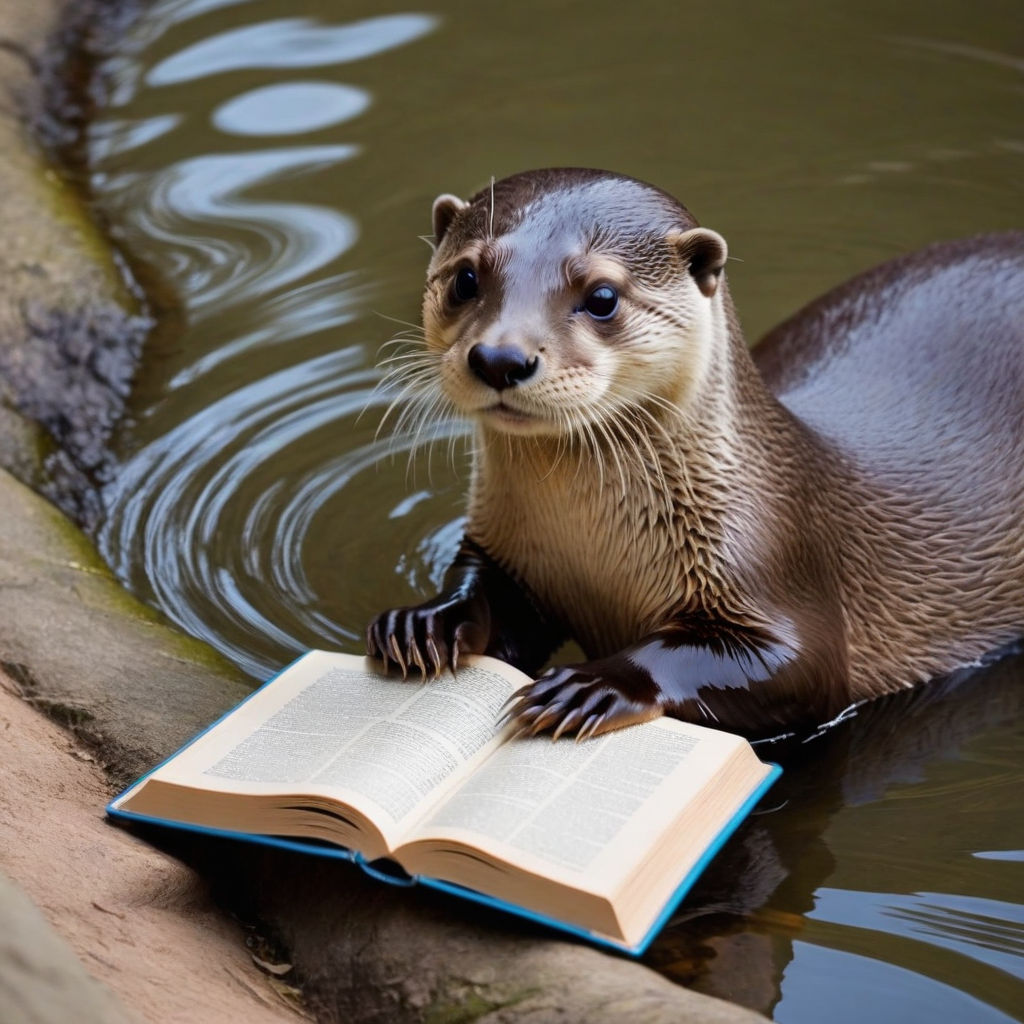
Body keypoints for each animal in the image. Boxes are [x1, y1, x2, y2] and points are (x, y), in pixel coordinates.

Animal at [366, 169, 1024, 745]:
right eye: (465, 278)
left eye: (601, 296)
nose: (501, 357)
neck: (592, 557)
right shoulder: (506, 548)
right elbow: (487, 593)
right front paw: (425, 621)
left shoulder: (777, 560)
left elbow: (796, 669)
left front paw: (594, 684)